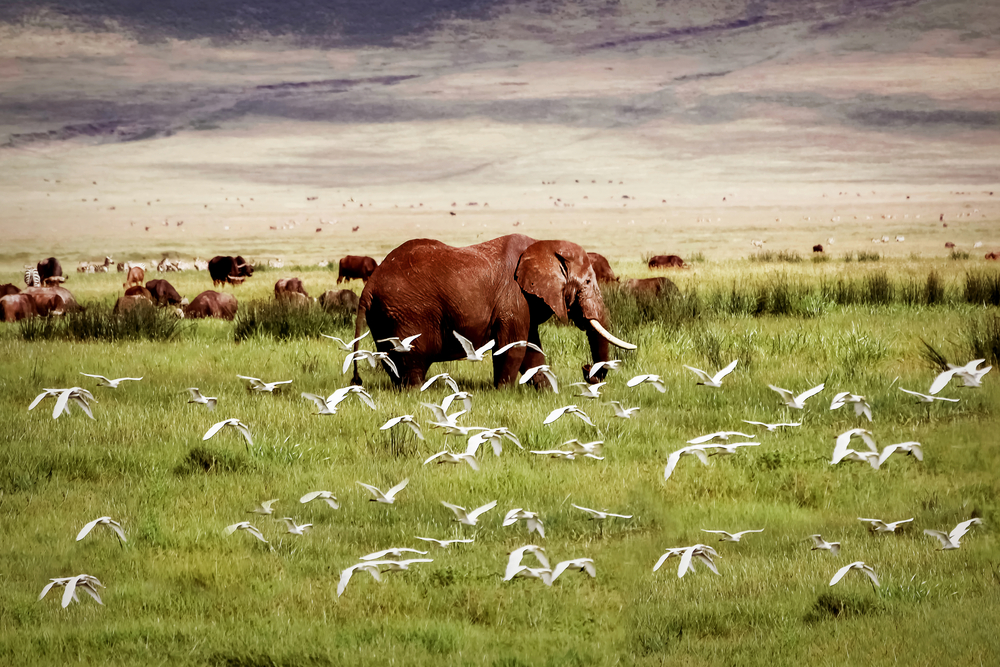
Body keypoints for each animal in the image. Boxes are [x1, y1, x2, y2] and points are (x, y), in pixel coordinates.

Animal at [350, 234, 635, 389]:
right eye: (587, 282)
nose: (588, 372)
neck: (543, 245)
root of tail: (370, 285)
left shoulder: (525, 302)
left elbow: (531, 349)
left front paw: (548, 392)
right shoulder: (514, 296)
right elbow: (514, 347)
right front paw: (503, 392)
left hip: (386, 315)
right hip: (407, 313)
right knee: (413, 358)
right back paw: (416, 391)